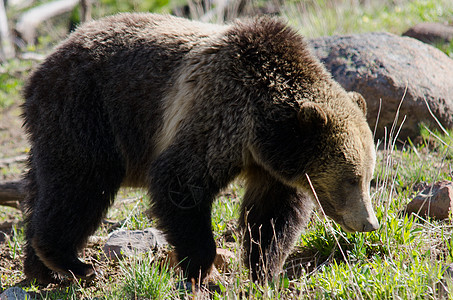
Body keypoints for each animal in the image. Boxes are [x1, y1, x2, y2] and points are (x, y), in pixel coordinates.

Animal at [22, 12, 378, 284]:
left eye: (367, 176)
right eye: (351, 178)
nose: (369, 223)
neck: (262, 128)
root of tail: (44, 63)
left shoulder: (271, 167)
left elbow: (271, 217)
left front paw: (265, 271)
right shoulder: (219, 112)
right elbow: (179, 182)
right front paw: (200, 268)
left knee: (41, 190)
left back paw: (42, 269)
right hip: (87, 110)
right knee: (81, 183)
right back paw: (70, 262)